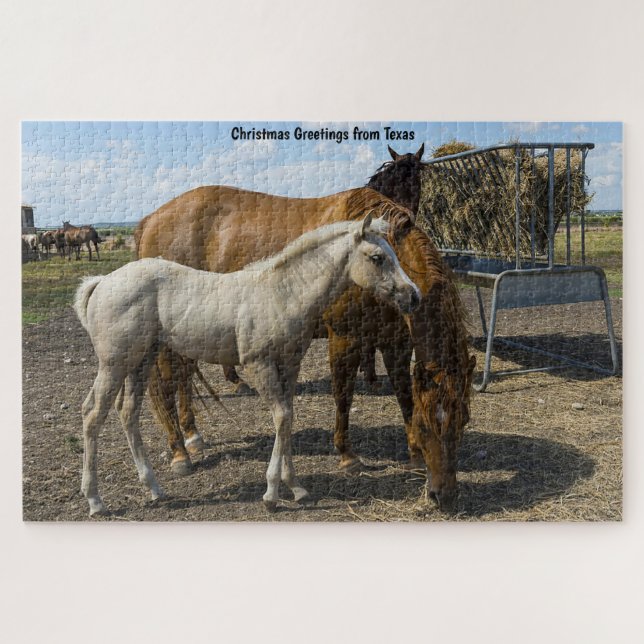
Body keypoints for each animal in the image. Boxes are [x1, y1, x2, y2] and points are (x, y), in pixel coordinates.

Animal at [75, 215, 420, 516]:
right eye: (377, 257)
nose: (413, 296)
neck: (283, 293)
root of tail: (102, 282)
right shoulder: (259, 364)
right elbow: (281, 416)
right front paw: (271, 495)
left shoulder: (290, 365)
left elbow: (288, 417)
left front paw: (296, 488)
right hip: (114, 364)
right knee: (93, 414)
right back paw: (95, 500)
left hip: (140, 362)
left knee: (127, 412)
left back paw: (155, 489)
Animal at [136, 185, 475, 512]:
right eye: (427, 426)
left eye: (463, 420)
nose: (444, 496)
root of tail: (151, 219)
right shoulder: (344, 338)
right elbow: (343, 396)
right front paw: (347, 455)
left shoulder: (396, 342)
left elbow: (405, 395)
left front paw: (414, 454)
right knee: (165, 386)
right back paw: (180, 452)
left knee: (183, 379)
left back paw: (192, 436)